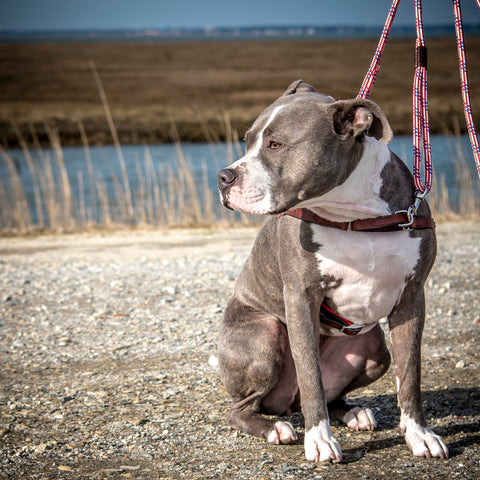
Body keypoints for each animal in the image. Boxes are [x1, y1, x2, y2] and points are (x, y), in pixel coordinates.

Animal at [216, 80, 448, 464]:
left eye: (275, 144)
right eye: (247, 141)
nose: (223, 177)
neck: (353, 215)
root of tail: (285, 405)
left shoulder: (413, 297)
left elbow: (411, 373)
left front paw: (420, 435)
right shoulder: (301, 299)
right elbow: (311, 375)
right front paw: (320, 441)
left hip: (375, 351)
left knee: (334, 393)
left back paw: (354, 413)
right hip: (264, 335)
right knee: (243, 409)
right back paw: (274, 428)